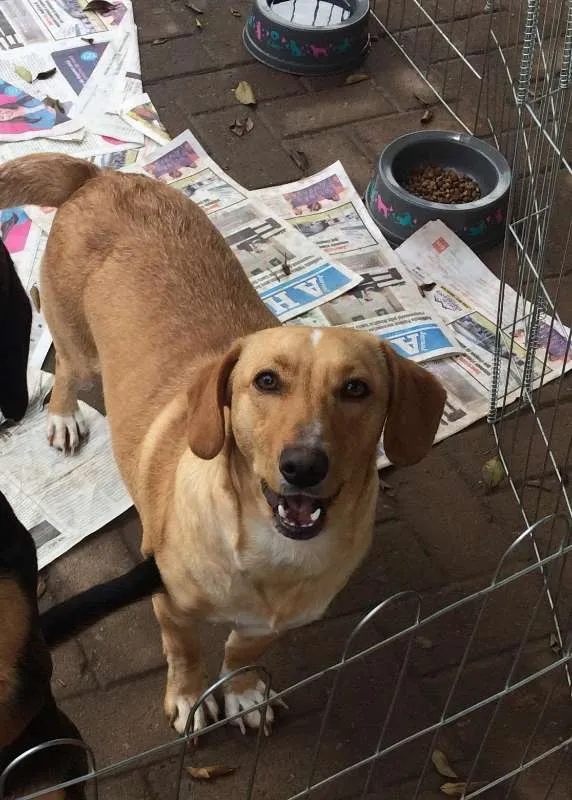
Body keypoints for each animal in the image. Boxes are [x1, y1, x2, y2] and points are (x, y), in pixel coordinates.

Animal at [0, 155, 446, 736]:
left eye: (356, 389)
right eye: (265, 381)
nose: (303, 465)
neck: (272, 554)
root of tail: (100, 176)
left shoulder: (271, 625)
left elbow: (241, 652)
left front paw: (244, 692)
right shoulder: (168, 605)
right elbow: (187, 654)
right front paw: (190, 700)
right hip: (78, 344)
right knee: (68, 370)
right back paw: (62, 417)